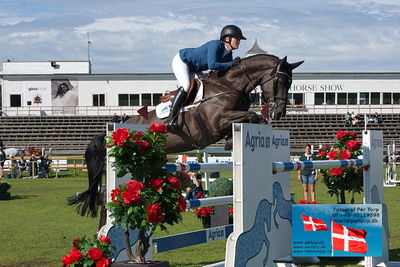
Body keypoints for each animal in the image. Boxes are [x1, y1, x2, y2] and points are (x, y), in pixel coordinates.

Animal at [69, 53, 304, 219]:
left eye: (291, 83)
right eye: (280, 81)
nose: (279, 112)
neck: (229, 86)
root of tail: (118, 128)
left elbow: (251, 119)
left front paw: (231, 141)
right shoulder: (217, 122)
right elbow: (252, 116)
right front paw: (233, 139)